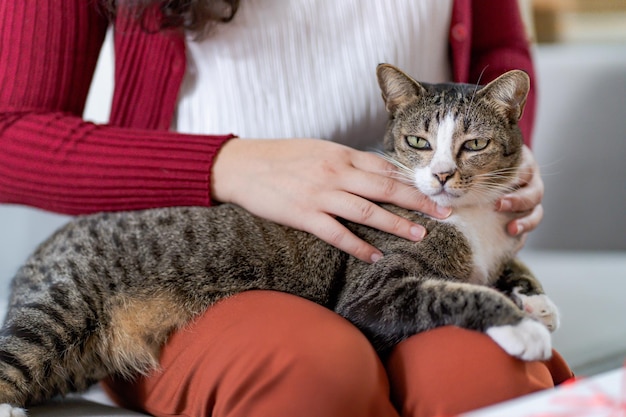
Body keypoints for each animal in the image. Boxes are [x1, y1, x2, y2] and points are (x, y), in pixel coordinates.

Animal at [0, 63, 556, 414]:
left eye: (474, 144)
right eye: (418, 141)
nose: (441, 175)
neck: (466, 216)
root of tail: (39, 252)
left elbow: (510, 269)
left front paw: (536, 301)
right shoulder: (373, 291)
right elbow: (454, 293)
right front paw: (521, 325)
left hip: (76, 359)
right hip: (62, 308)